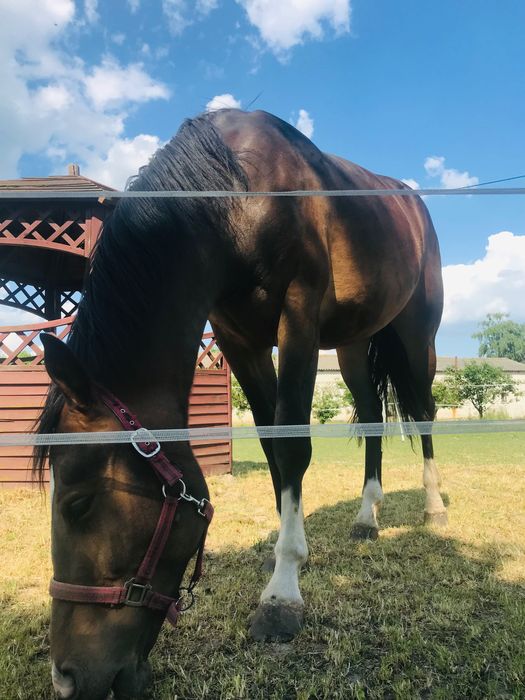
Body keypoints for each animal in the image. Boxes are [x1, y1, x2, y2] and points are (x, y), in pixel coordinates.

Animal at [35, 109, 446, 700]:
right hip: (352, 343)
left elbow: (293, 447)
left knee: (425, 413)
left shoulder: (297, 315)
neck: (237, 197)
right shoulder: (238, 336)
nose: (65, 679)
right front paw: (289, 551)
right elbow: (275, 452)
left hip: (417, 335)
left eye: (79, 505)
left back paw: (434, 506)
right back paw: (367, 516)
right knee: (371, 417)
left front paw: (282, 594)